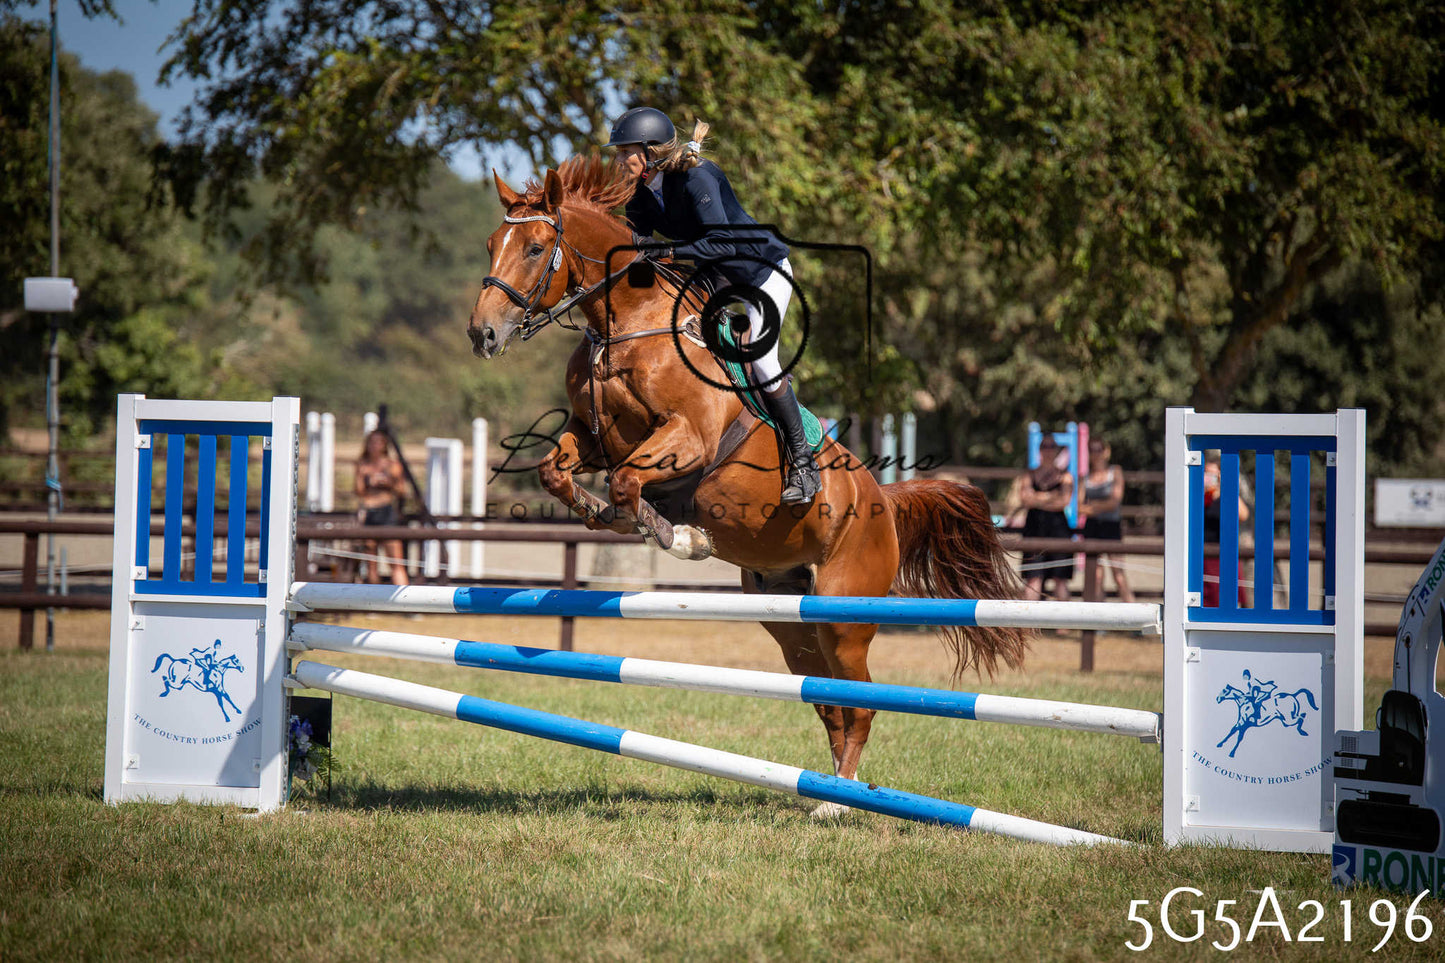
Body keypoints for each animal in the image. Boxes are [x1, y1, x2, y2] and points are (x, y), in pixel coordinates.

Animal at [466, 156, 1027, 808]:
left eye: (535, 247)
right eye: (490, 243)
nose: (482, 335)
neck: (626, 324)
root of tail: (882, 500)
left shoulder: (688, 438)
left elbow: (629, 482)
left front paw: (679, 536)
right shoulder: (590, 433)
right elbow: (556, 471)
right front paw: (604, 515)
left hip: (845, 614)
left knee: (860, 705)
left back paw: (837, 803)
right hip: (789, 619)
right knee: (830, 704)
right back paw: (828, 790)